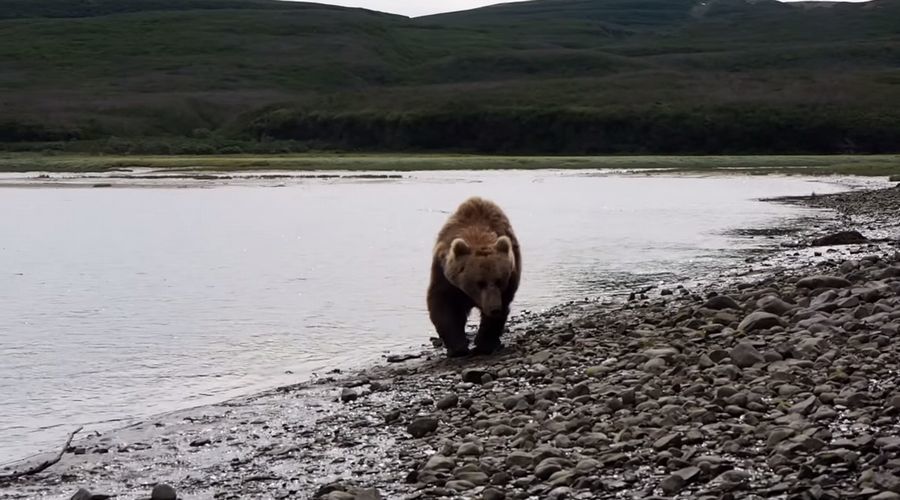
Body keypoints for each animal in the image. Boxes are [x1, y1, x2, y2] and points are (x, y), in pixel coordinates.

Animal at [428, 195, 520, 356]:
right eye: (479, 282)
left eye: (499, 280)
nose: (494, 308)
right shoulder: (444, 277)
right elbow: (443, 305)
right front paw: (457, 347)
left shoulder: (508, 282)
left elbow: (499, 311)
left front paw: (485, 344)